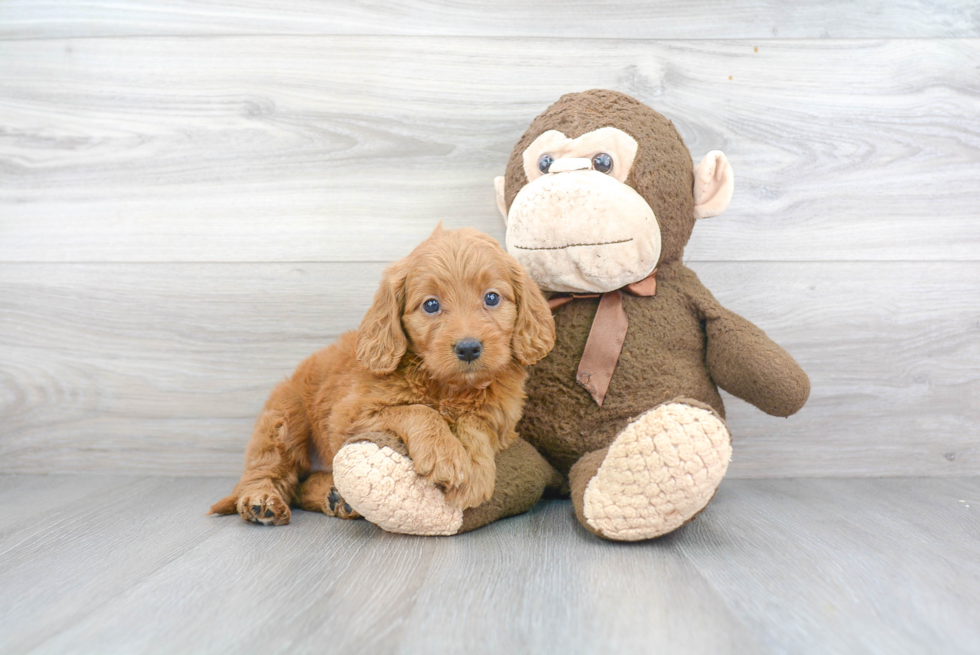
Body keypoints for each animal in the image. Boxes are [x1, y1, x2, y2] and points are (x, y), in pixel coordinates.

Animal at [210, 228, 556, 524]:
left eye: (492, 298)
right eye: (431, 305)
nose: (469, 348)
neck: (448, 387)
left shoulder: (503, 419)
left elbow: (476, 423)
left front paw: (474, 469)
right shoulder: (349, 416)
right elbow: (417, 411)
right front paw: (445, 454)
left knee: (302, 485)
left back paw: (337, 498)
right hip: (284, 420)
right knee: (268, 470)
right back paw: (261, 501)